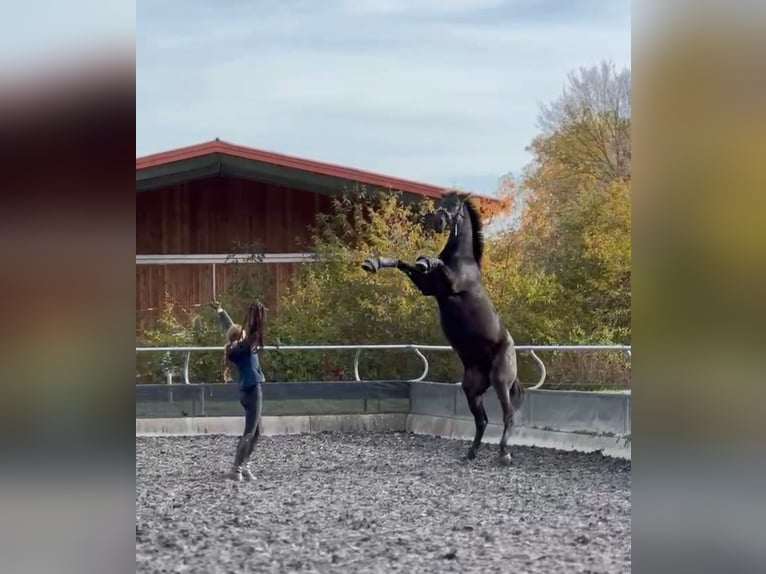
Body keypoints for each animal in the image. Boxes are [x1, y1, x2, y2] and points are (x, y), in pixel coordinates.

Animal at [362, 191, 543, 465]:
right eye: (441, 202)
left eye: (455, 206)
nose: (438, 222)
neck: (462, 261)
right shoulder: (427, 287)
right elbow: (404, 263)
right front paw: (372, 263)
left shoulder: (451, 283)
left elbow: (432, 262)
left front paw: (426, 260)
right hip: (472, 389)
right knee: (482, 421)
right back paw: (471, 453)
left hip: (500, 380)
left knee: (508, 415)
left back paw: (504, 454)